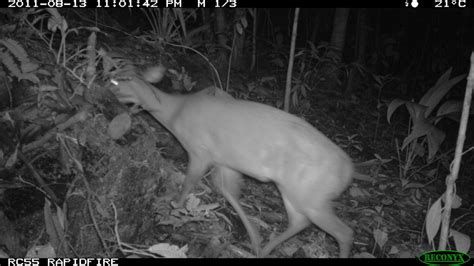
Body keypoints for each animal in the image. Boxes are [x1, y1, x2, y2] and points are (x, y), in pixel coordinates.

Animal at [109, 67, 354, 258]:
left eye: (115, 81)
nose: (104, 83)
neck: (175, 112)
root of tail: (349, 173)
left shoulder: (199, 150)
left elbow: (190, 182)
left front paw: (175, 206)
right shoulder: (225, 161)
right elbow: (226, 189)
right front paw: (254, 238)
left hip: (311, 193)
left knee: (344, 233)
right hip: (295, 191)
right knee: (299, 221)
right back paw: (264, 250)